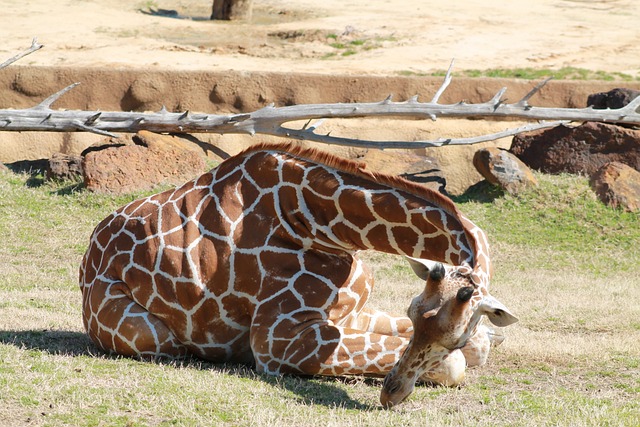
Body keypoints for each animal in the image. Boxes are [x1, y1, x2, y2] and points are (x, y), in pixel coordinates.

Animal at [80, 143, 516, 408]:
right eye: (414, 313)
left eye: (454, 335)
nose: (391, 395)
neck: (318, 223)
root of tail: (87, 260)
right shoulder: (278, 341)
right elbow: (456, 364)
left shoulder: (348, 313)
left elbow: (476, 346)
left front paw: (487, 338)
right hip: (150, 335)